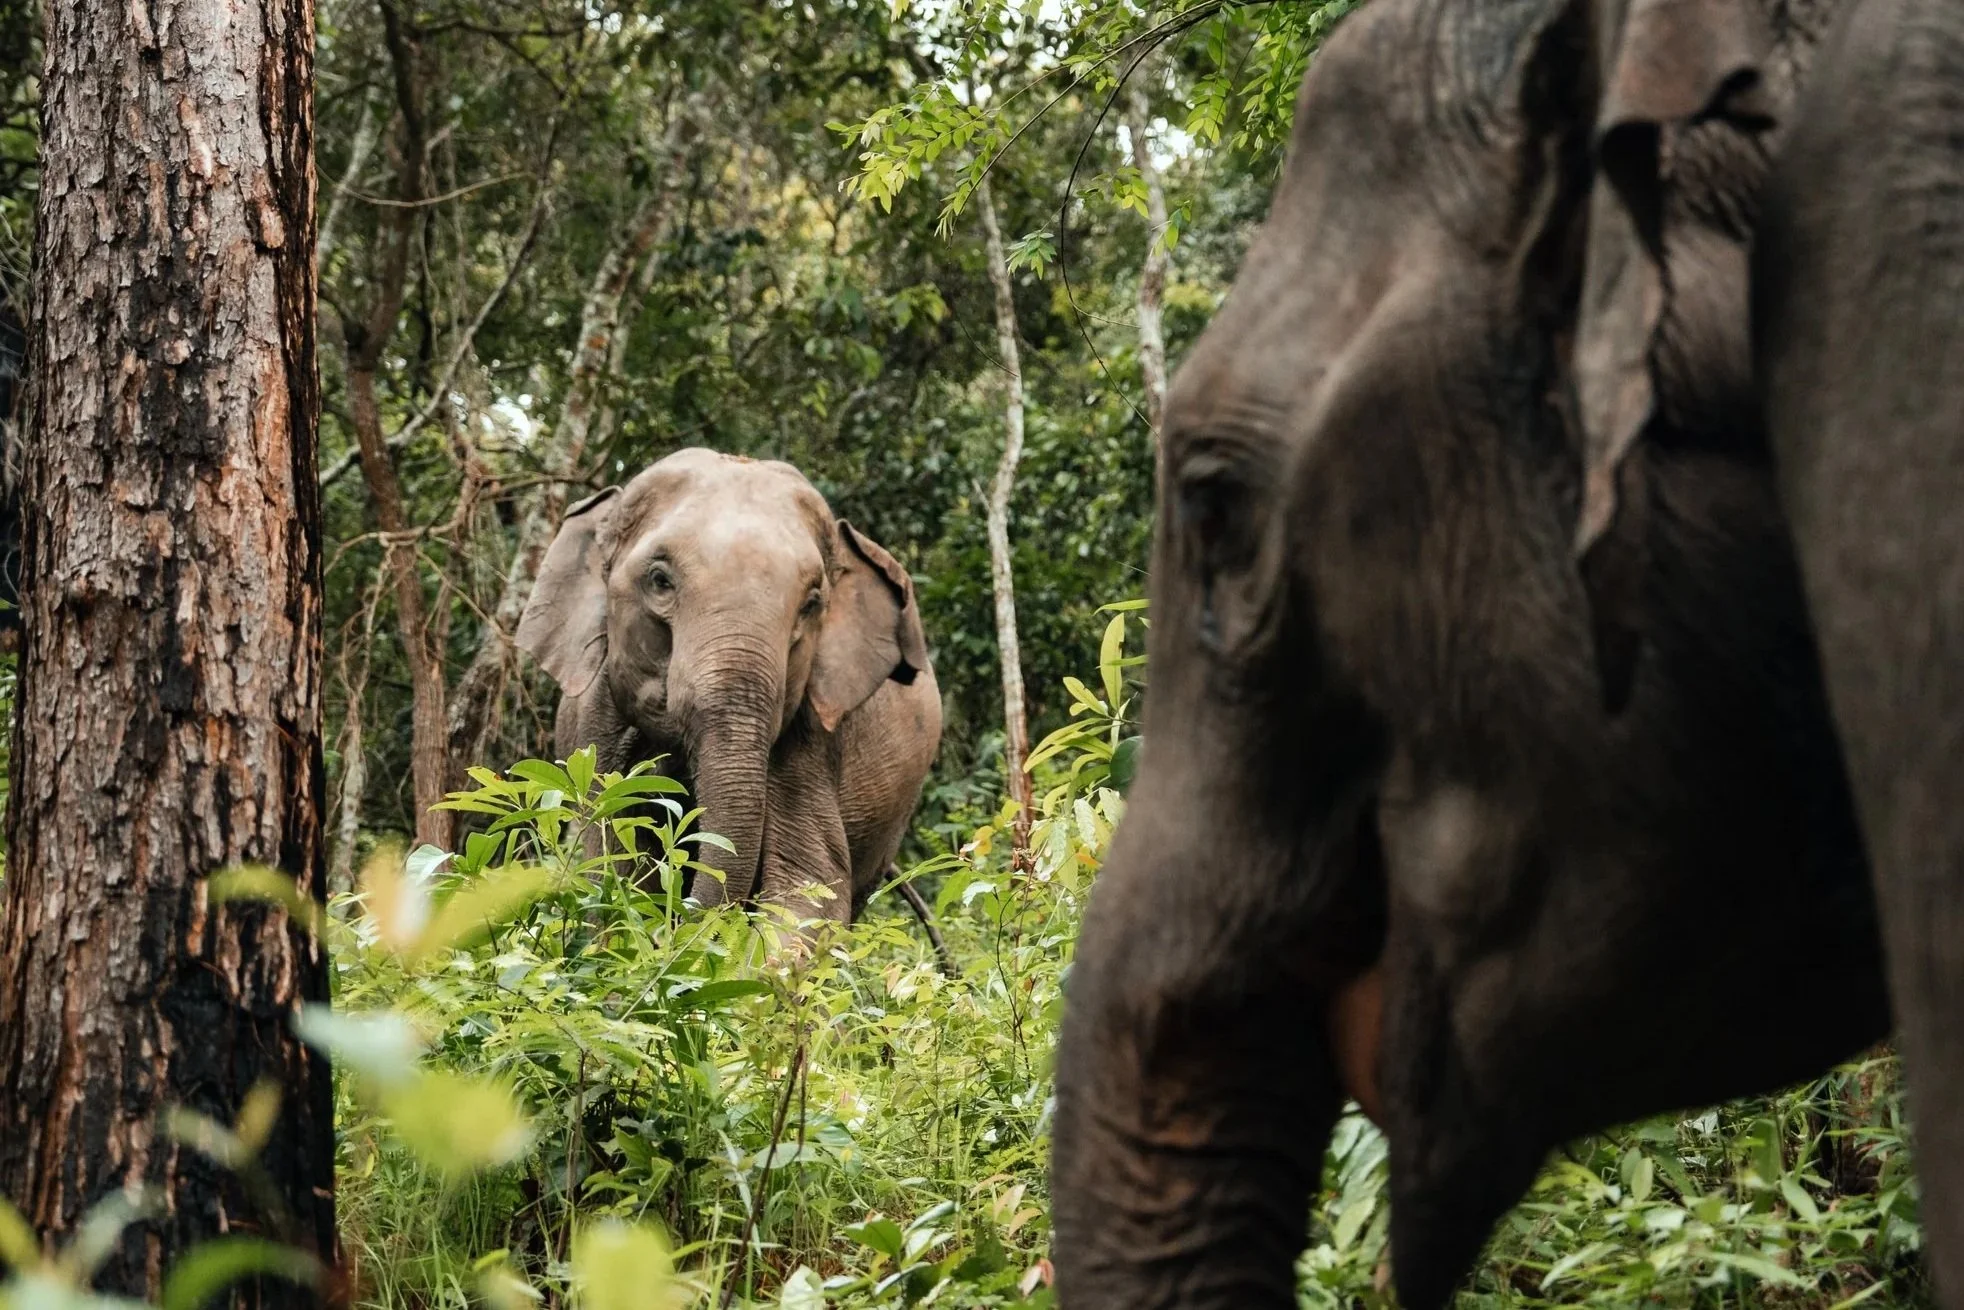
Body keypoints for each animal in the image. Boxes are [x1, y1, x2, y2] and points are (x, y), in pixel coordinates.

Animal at [515, 448, 943, 933]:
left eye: (812, 603)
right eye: (659, 580)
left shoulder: (809, 737)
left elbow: (812, 890)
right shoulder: (594, 728)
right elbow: (609, 867)